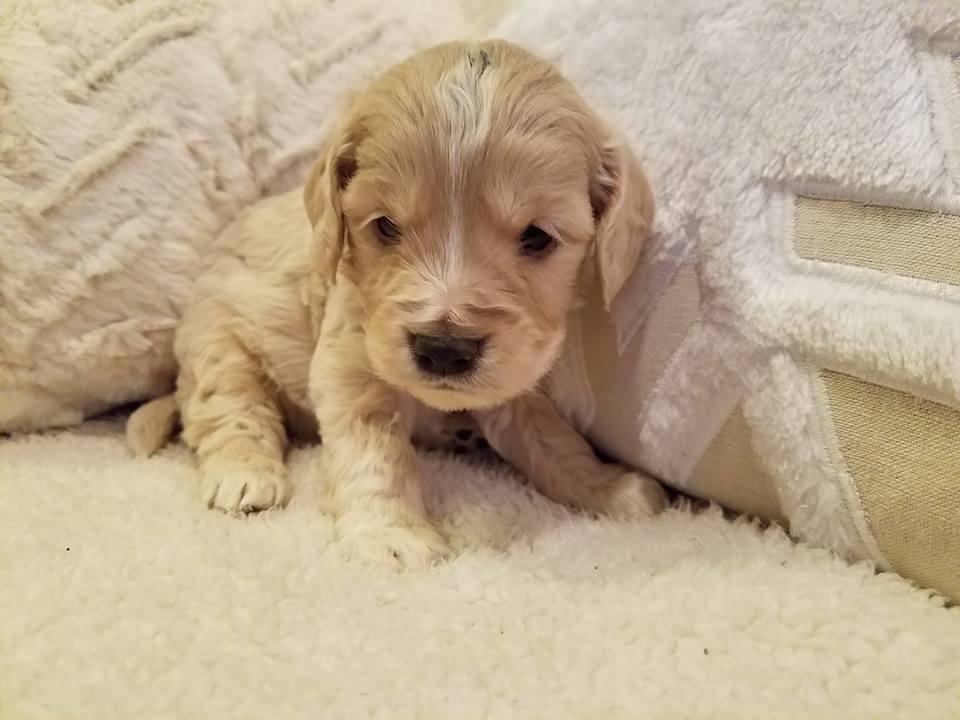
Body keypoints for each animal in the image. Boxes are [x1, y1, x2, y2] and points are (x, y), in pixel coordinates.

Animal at [127, 40, 668, 568]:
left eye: (537, 237)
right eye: (385, 226)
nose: (444, 350)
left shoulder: (518, 378)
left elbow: (553, 441)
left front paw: (607, 488)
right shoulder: (351, 363)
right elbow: (376, 456)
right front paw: (389, 535)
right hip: (217, 340)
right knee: (228, 407)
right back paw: (244, 474)